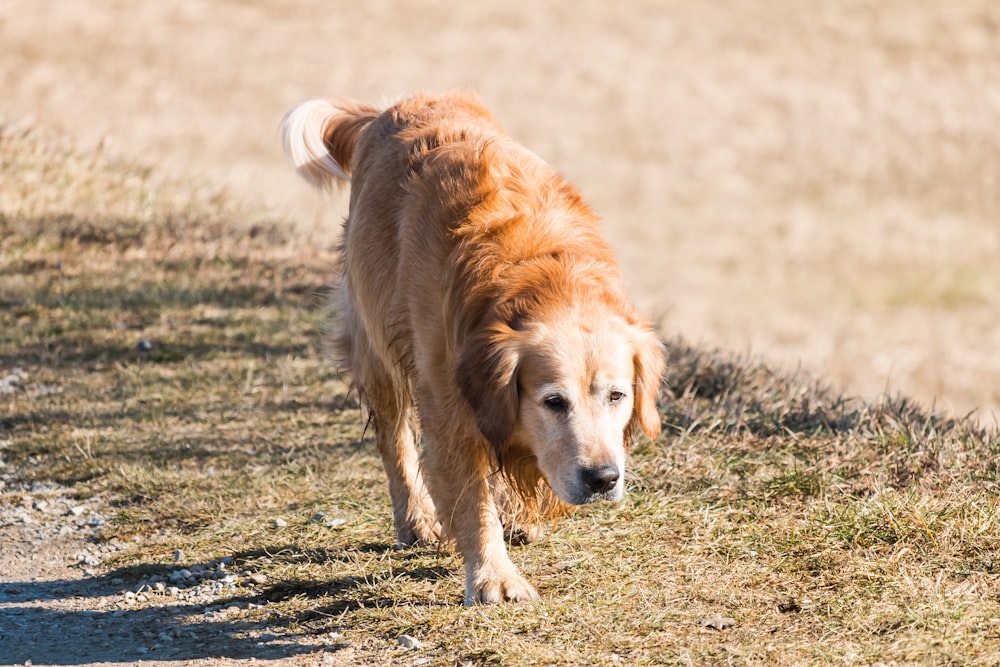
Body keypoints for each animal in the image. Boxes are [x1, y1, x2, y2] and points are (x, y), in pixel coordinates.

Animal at [280, 91, 664, 608]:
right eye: (553, 402)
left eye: (618, 396)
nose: (603, 479)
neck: (540, 274)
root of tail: (392, 107)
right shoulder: (448, 403)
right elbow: (470, 498)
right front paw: (493, 577)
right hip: (375, 341)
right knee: (394, 441)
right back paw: (416, 520)